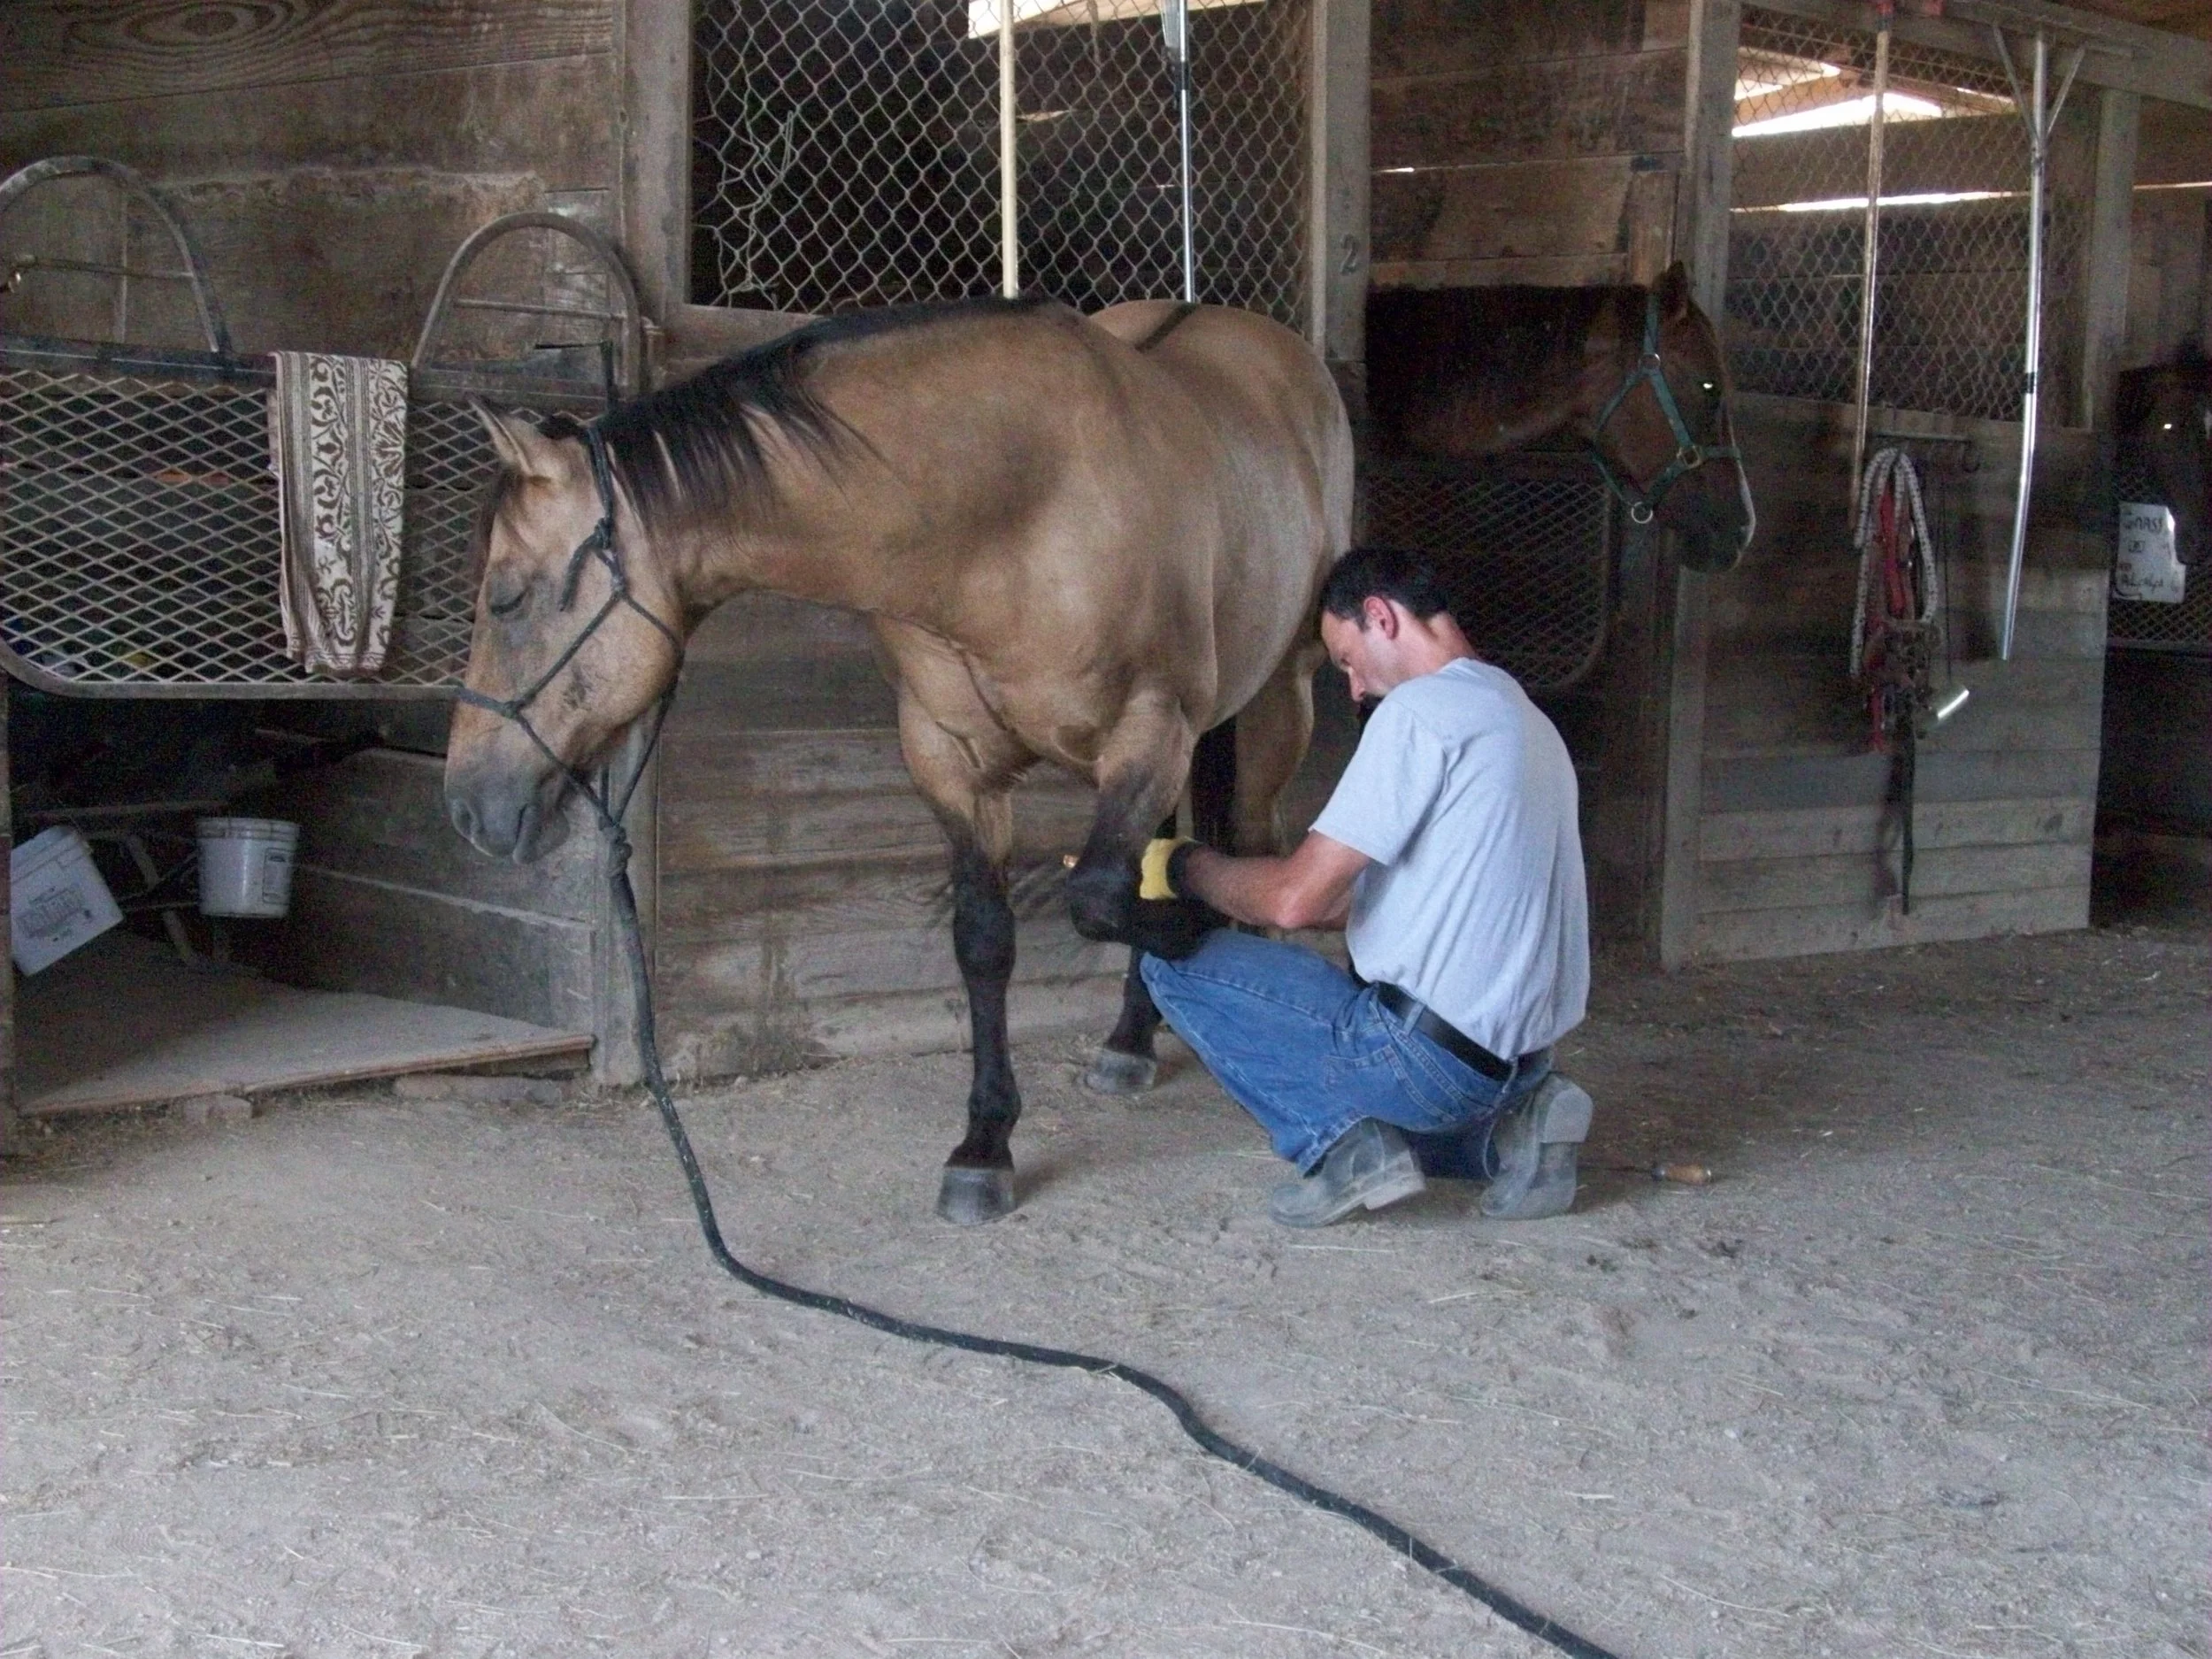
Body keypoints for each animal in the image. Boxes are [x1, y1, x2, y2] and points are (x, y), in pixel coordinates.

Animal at [444, 295, 1353, 1224]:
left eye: (505, 598)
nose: (468, 806)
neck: (1014, 512)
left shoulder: (1148, 729)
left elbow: (1102, 894)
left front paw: (1195, 939)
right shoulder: (950, 759)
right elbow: (987, 938)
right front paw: (985, 1144)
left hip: (1278, 698)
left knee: (1255, 841)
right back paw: (1132, 1037)